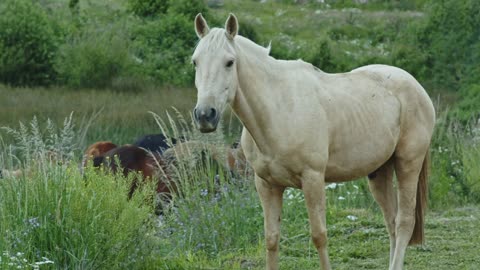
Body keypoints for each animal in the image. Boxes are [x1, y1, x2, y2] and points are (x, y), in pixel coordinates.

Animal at [190, 13, 436, 270]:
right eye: (195, 62)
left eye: (229, 62)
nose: (205, 115)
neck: (279, 109)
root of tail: (416, 86)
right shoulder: (267, 185)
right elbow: (271, 239)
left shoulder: (313, 179)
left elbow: (319, 236)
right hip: (380, 172)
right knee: (391, 222)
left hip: (408, 163)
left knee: (404, 222)